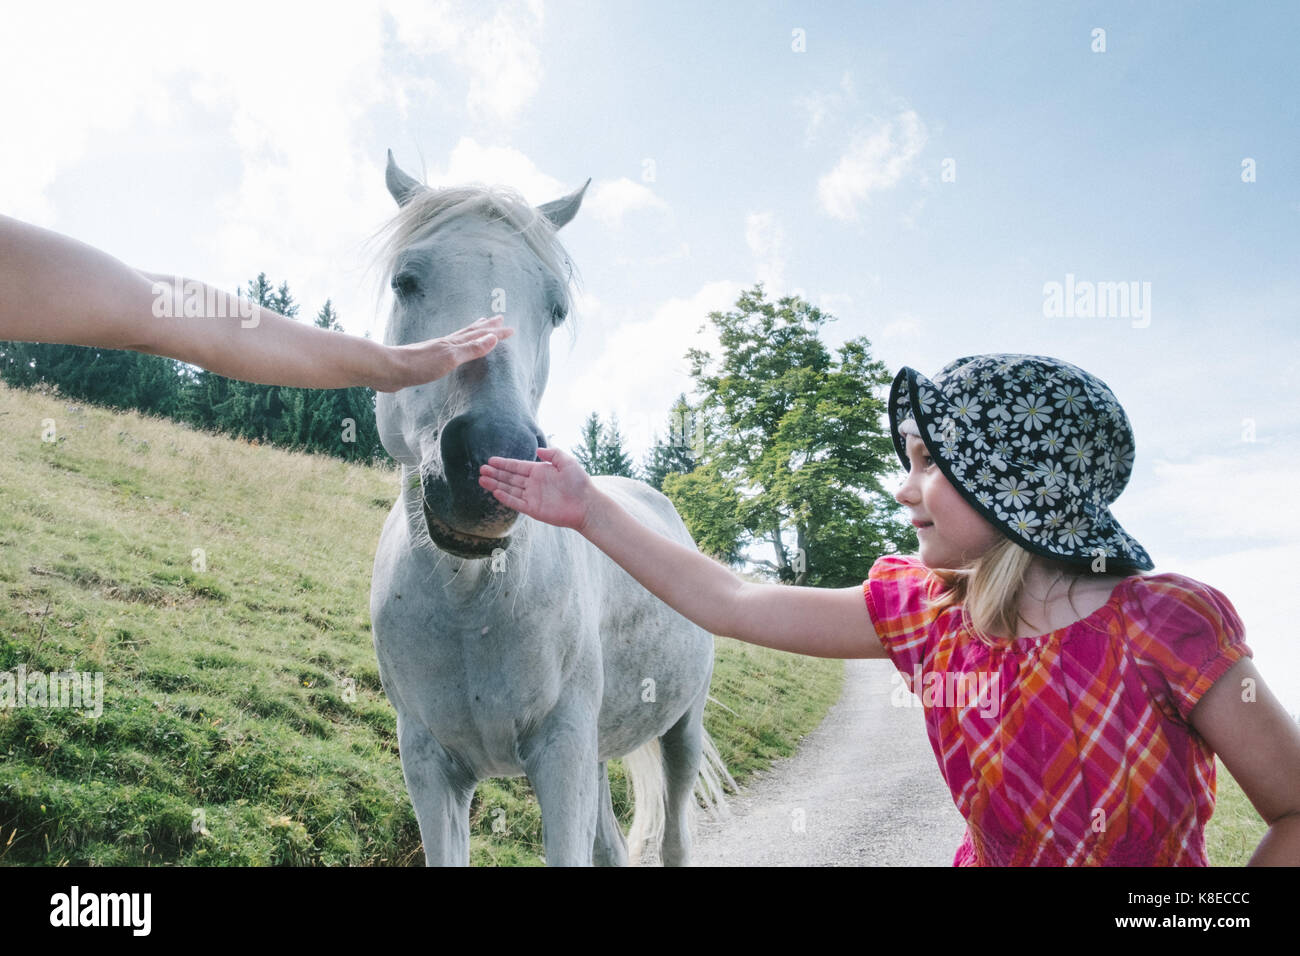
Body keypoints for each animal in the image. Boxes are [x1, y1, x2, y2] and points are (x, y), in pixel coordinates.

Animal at [369, 149, 733, 868]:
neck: (470, 602)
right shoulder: (429, 765)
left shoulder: (561, 756)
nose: (490, 454)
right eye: (406, 280)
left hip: (679, 728)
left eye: (556, 307)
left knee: (674, 837)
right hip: (597, 755)